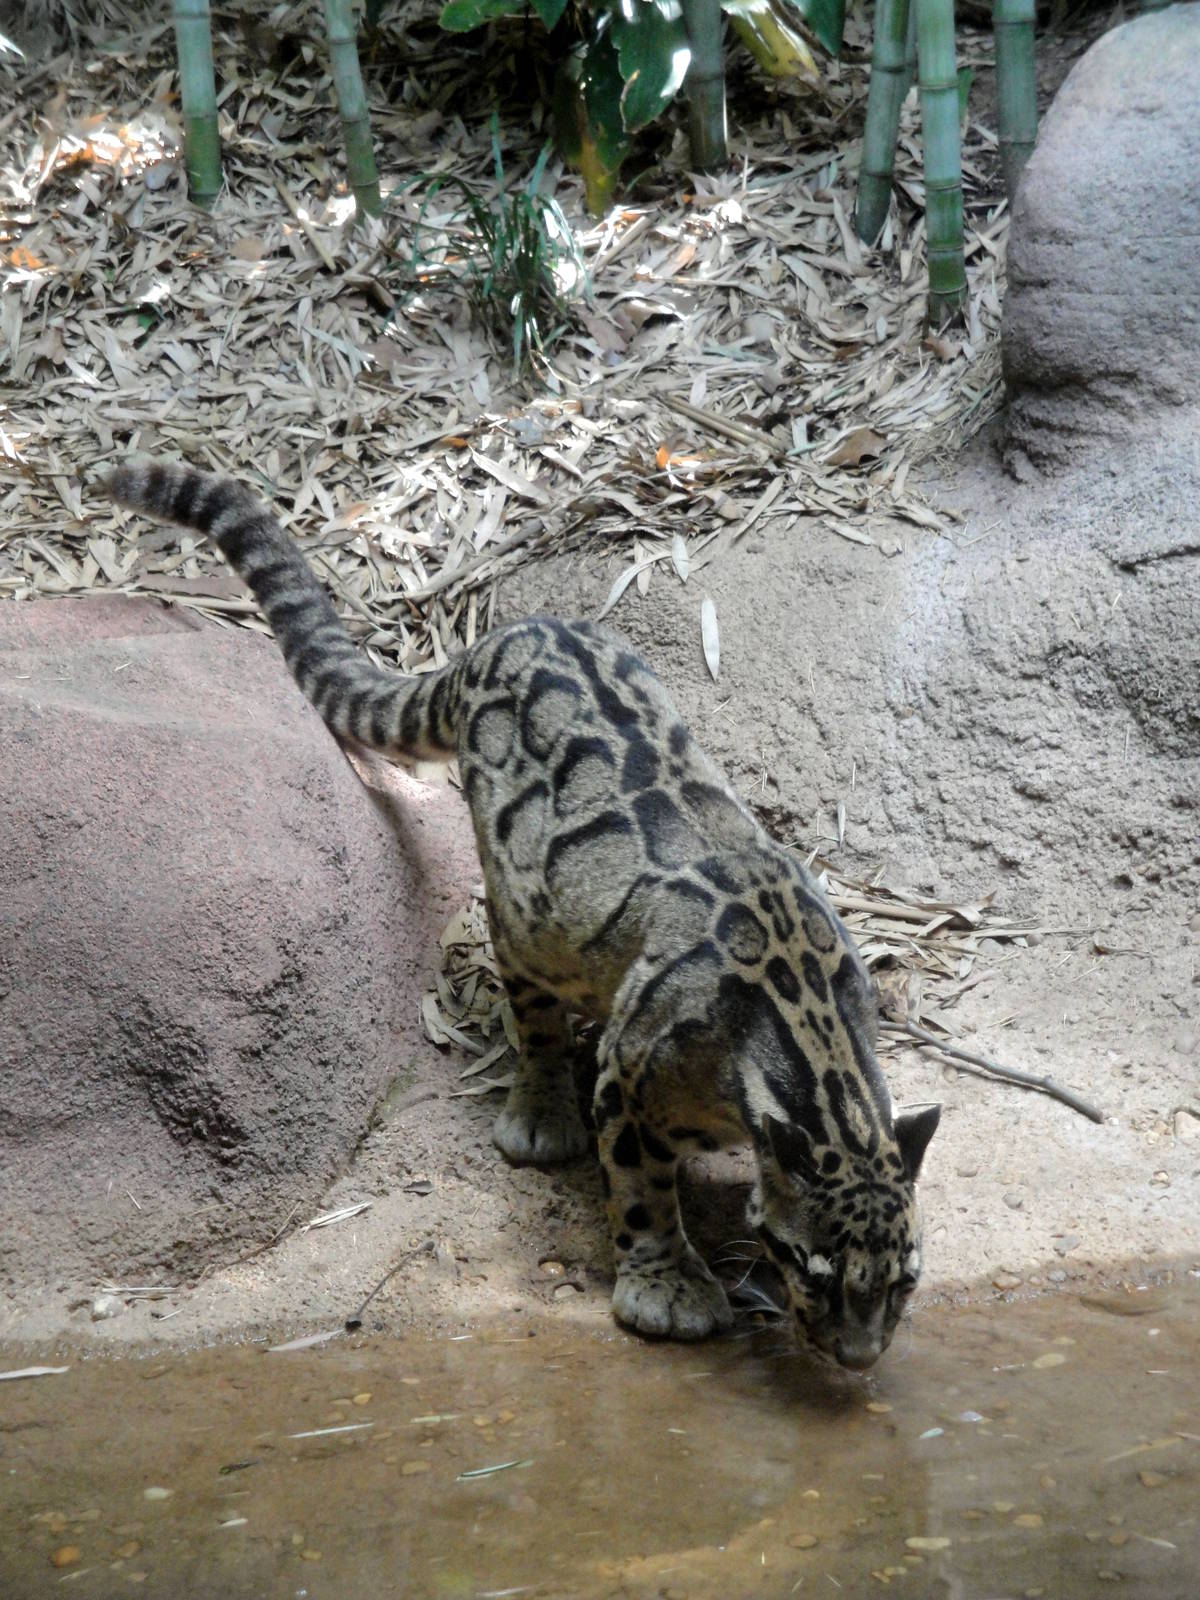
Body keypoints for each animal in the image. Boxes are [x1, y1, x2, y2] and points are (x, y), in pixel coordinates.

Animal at [108, 459, 940, 1369]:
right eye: (817, 1274)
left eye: (903, 1279)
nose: (860, 1356)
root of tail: (498, 638)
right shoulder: (633, 1077)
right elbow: (642, 1188)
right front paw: (667, 1286)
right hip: (523, 911)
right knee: (532, 1011)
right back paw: (542, 1113)